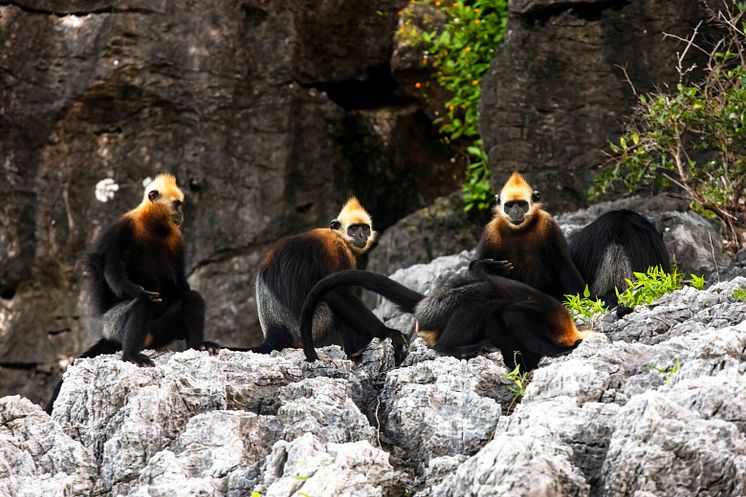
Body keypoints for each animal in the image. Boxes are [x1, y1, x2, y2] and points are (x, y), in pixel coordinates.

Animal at [46, 172, 217, 412]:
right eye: (177, 205)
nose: (182, 213)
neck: (154, 227)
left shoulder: (176, 240)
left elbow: (182, 286)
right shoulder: (122, 228)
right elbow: (113, 269)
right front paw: (137, 289)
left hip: (160, 331)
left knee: (192, 298)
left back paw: (196, 347)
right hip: (114, 325)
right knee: (142, 302)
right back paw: (131, 354)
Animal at [247, 198, 404, 364]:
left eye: (365, 228)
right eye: (354, 229)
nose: (362, 235)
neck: (338, 236)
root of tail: (274, 330)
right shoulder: (335, 249)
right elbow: (336, 293)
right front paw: (389, 332)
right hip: (311, 327)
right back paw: (355, 349)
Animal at [296, 262, 588, 370]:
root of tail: (426, 303)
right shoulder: (545, 315)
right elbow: (513, 314)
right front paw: (558, 350)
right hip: (439, 310)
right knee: (476, 302)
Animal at [474, 171, 584, 302]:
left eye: (522, 204)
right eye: (509, 205)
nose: (516, 213)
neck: (519, 230)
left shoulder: (548, 223)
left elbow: (563, 263)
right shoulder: (490, 232)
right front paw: (489, 267)